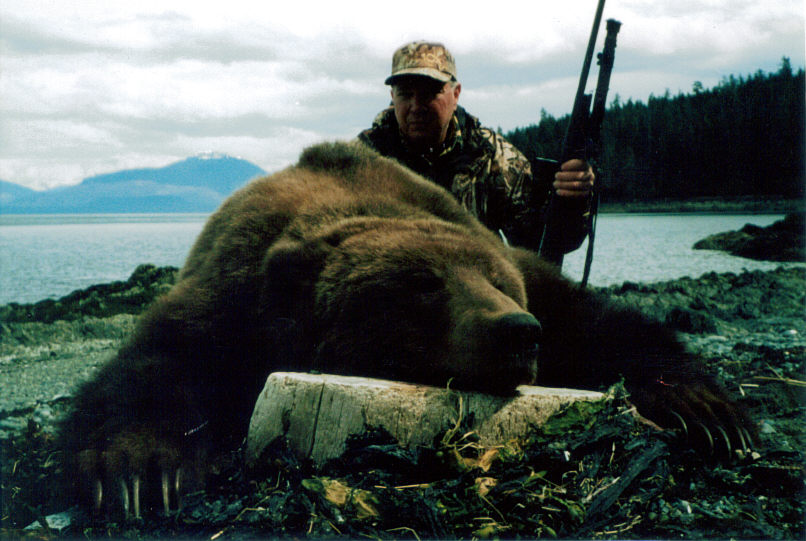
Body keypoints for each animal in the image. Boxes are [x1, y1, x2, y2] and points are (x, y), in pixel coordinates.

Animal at [58, 141, 753, 518]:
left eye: (499, 282)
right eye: (424, 285)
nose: (516, 330)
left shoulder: (534, 283)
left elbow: (601, 323)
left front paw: (707, 409)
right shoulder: (232, 295)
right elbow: (159, 360)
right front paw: (141, 470)